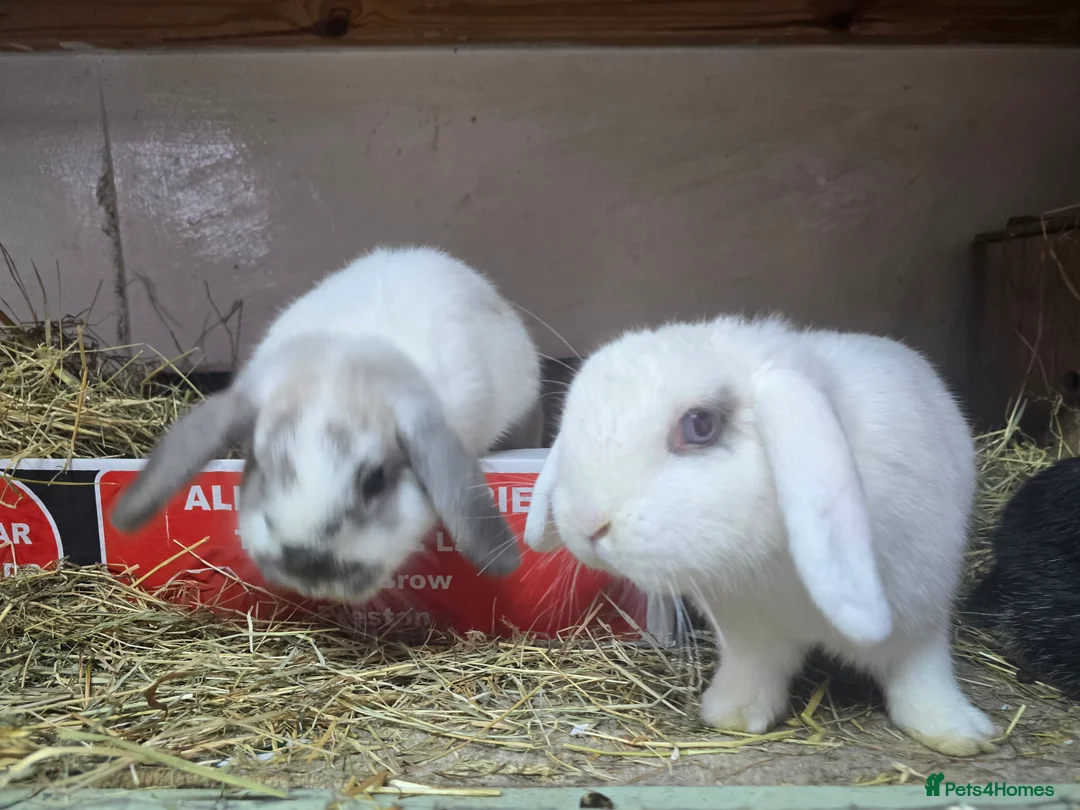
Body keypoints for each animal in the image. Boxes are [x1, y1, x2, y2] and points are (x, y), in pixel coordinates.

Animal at [523, 313, 998, 757]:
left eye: (700, 424)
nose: (588, 523)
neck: (779, 567)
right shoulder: (749, 634)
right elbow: (755, 671)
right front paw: (731, 715)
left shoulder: (919, 616)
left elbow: (921, 674)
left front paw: (957, 733)